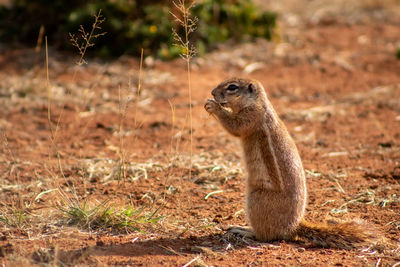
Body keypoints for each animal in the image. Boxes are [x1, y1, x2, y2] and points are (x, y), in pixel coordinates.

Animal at [205, 78, 382, 251]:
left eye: (232, 87)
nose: (212, 92)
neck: (258, 102)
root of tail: (294, 226)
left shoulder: (252, 116)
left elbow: (235, 126)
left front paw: (213, 106)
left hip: (256, 200)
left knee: (265, 235)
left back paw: (243, 230)